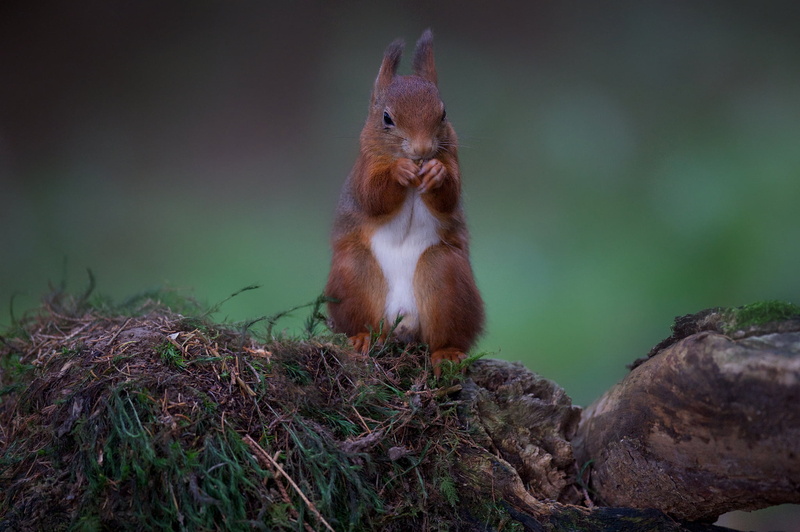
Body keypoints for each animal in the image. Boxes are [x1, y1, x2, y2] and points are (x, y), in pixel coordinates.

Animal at [324, 29, 484, 376]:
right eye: (387, 118)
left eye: (443, 113)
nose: (422, 150)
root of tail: (403, 322)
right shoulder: (365, 168)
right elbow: (373, 198)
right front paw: (399, 171)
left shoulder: (454, 161)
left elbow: (449, 198)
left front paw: (436, 173)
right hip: (354, 274)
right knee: (362, 320)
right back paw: (361, 338)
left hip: (445, 277)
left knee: (445, 333)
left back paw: (447, 353)